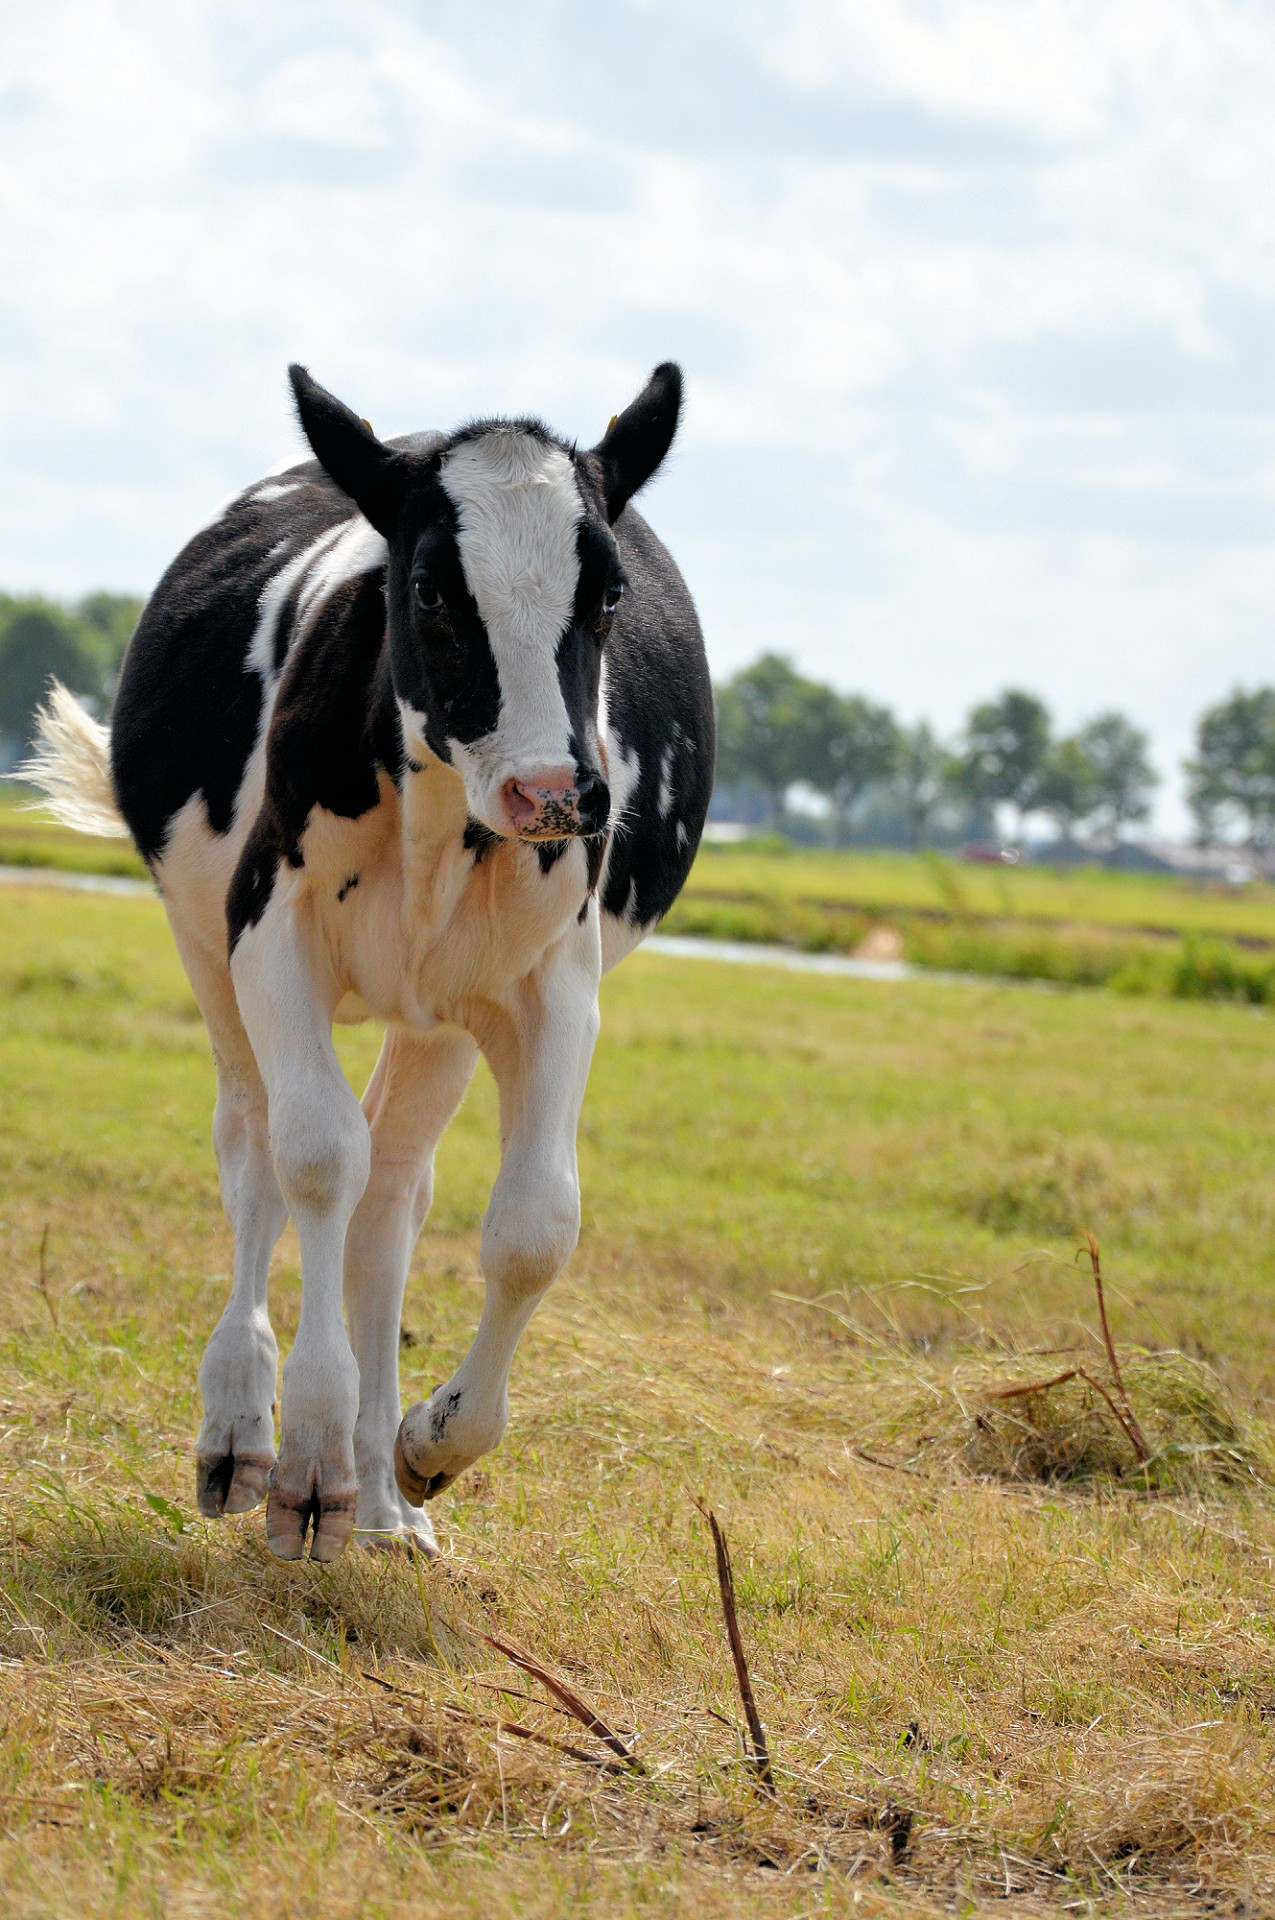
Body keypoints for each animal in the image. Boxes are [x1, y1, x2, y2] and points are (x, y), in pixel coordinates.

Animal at [29, 360, 710, 1559]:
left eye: (609, 593)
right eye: (431, 588)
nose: (553, 792)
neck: (442, 823)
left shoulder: (557, 981)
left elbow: (536, 1224)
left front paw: (429, 1444)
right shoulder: (270, 931)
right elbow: (313, 1158)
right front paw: (307, 1458)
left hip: (440, 1011)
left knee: (393, 1194)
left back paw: (388, 1498)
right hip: (206, 946)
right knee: (255, 1144)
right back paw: (241, 1429)